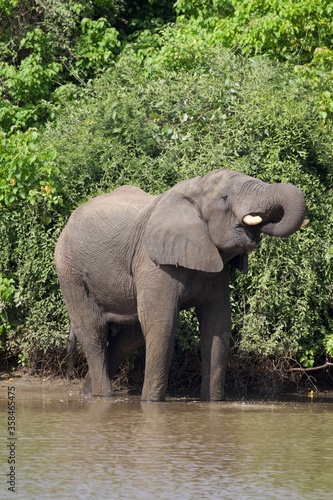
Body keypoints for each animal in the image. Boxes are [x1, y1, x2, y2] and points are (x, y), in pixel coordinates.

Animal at [55, 170, 306, 400]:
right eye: (225, 198)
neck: (194, 191)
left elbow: (217, 325)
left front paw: (212, 403)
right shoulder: (153, 262)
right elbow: (162, 324)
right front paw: (150, 403)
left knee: (130, 335)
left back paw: (87, 392)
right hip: (69, 269)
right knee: (93, 329)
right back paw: (102, 396)